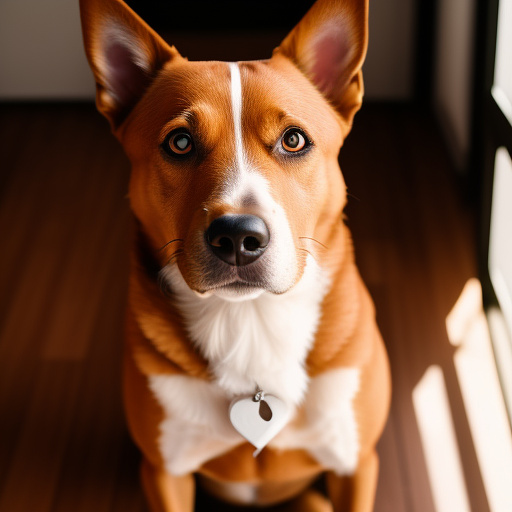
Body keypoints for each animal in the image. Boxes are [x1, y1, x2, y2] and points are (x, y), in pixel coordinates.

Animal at [80, 1, 390, 508]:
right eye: (180, 143)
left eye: (293, 140)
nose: (238, 237)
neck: (251, 322)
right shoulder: (165, 472)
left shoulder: (357, 465)